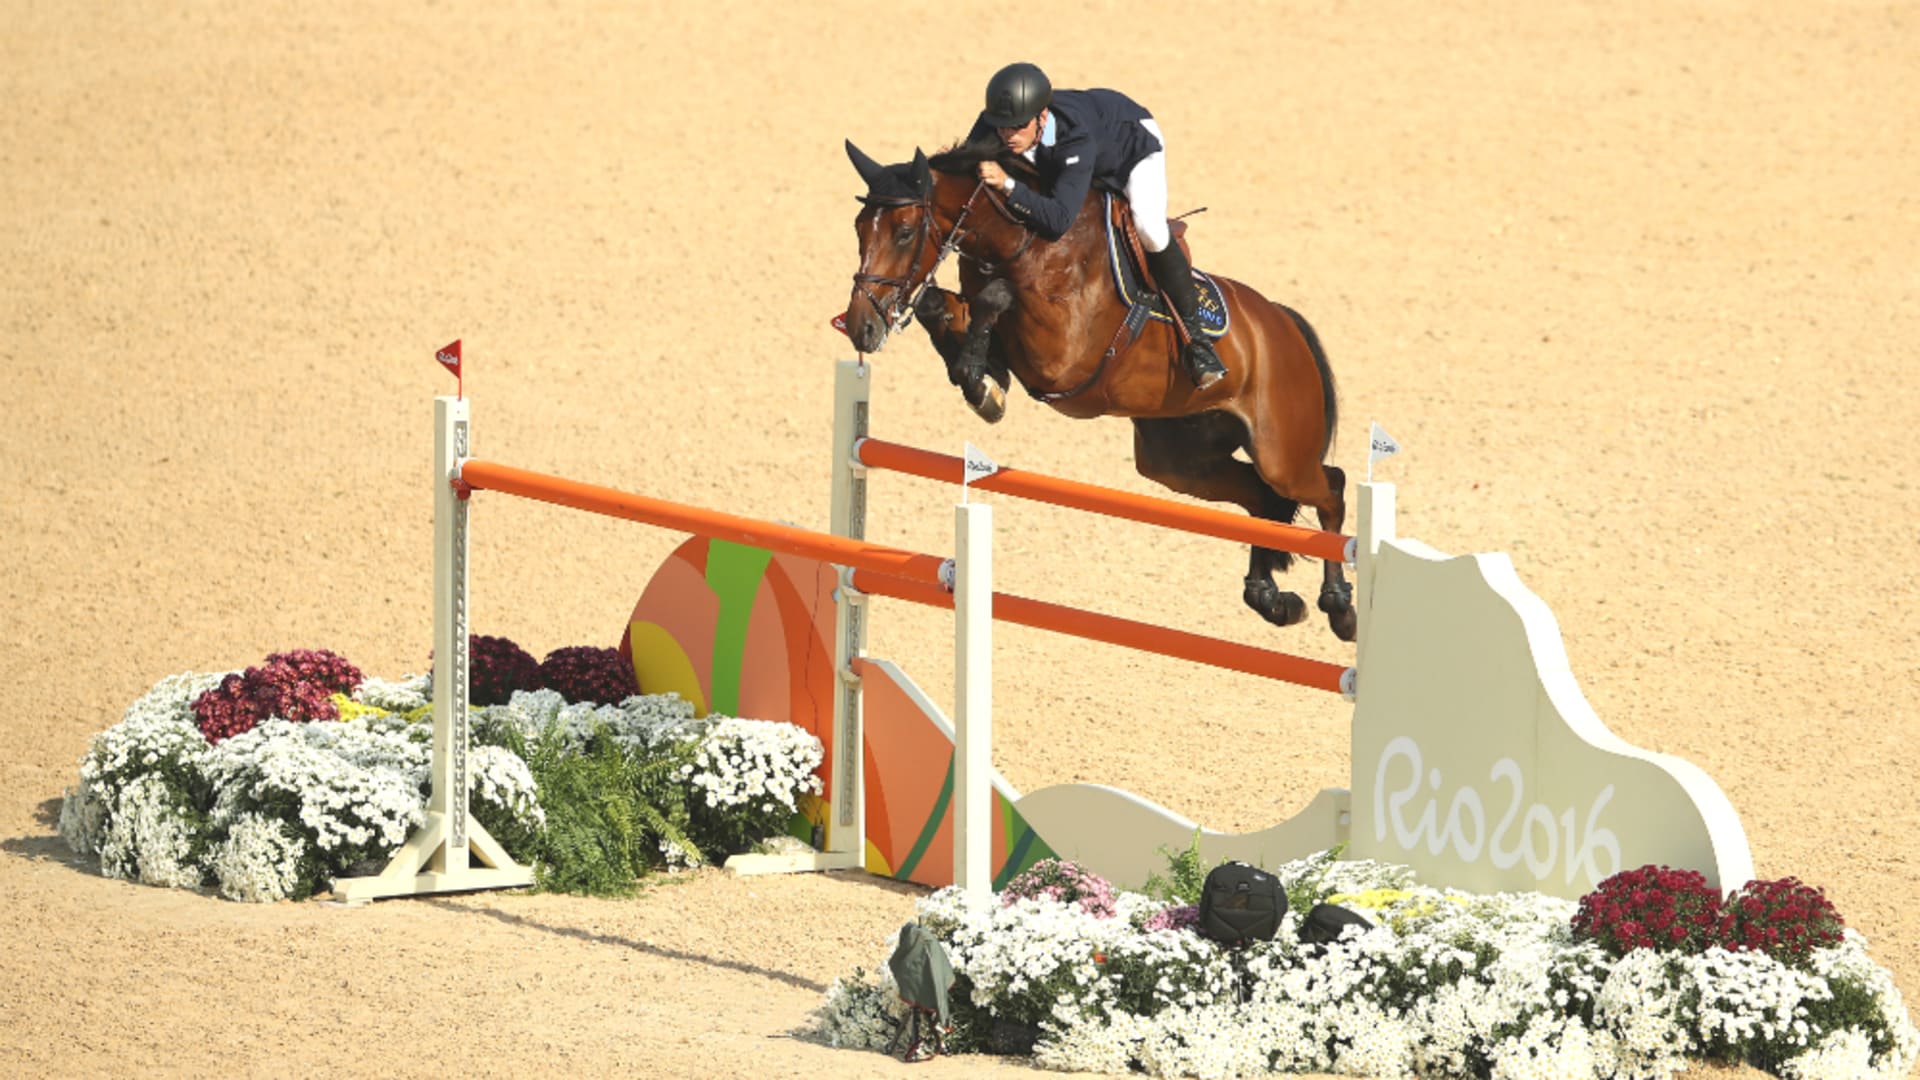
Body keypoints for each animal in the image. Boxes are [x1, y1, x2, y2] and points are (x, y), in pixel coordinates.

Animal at [848, 137, 1359, 634]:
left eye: (905, 231)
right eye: (859, 229)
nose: (859, 327)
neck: (1023, 241)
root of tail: (1283, 323)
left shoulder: (1062, 356)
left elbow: (995, 298)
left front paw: (981, 380)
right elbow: (941, 305)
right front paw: (981, 381)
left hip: (1280, 453)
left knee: (1329, 487)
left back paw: (1339, 608)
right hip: (1180, 460)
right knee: (1262, 499)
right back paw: (1271, 599)